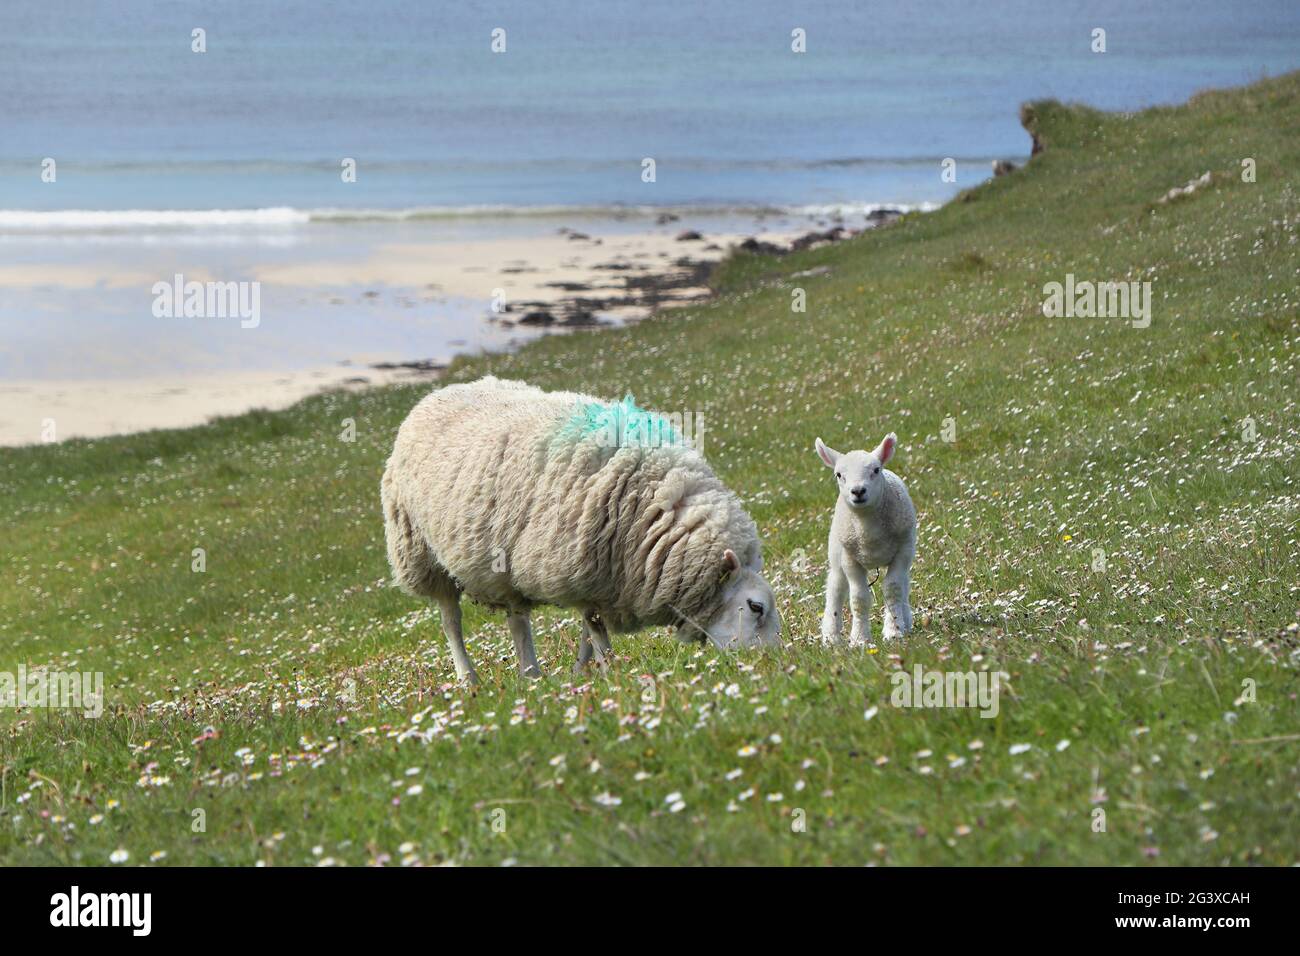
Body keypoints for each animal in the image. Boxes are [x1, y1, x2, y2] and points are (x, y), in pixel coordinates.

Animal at [379, 377, 780, 686]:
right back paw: (470, 678)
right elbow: (594, 627)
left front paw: (584, 670)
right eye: (755, 607)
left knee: (516, 618)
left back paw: (530, 673)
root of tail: (436, 393)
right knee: (452, 622)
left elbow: (589, 628)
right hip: (420, 552)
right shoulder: (580, 564)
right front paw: (611, 669)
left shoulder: (602, 576)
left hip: (505, 558)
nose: (773, 663)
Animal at [811, 434, 915, 647]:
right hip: (836, 553)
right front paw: (860, 640)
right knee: (836, 588)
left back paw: (906, 621)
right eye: (839, 475)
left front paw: (894, 631)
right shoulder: (850, 559)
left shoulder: (903, 551)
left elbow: (893, 589)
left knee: (904, 584)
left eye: (876, 470)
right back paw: (831, 637)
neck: (870, 535)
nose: (858, 491)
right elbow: (859, 599)